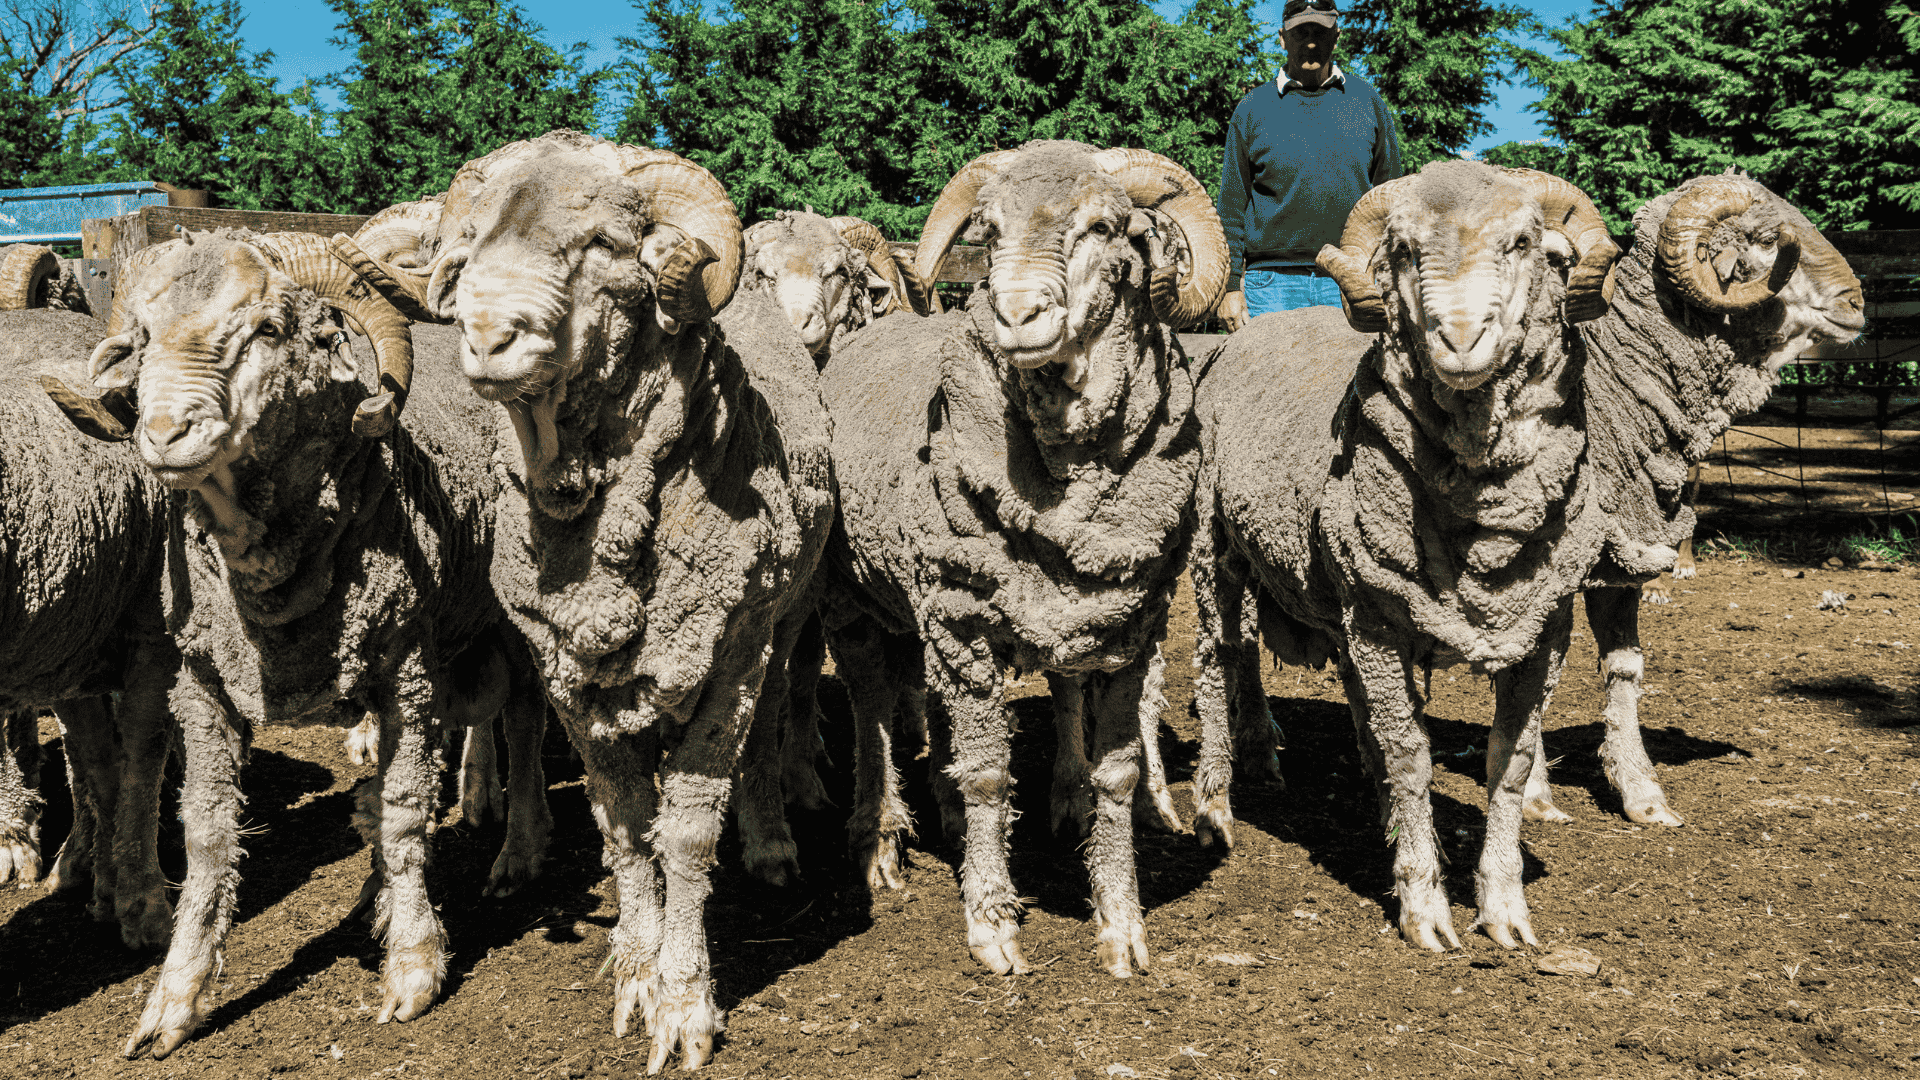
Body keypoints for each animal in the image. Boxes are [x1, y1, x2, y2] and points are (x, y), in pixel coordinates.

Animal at [42, 227, 547, 1057]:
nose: (164, 434)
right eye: (141, 339)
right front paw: (174, 998)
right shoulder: (203, 682)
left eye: (268, 330)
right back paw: (383, 890)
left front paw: (413, 968)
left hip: (510, 612)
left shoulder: (405, 668)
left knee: (523, 719)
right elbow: (208, 834)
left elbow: (404, 807)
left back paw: (519, 849)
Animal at [334, 129, 834, 1073]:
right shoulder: (568, 676)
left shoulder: (729, 655)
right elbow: (626, 824)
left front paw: (684, 999)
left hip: (777, 628)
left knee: (769, 728)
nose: (493, 334)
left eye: (602, 243)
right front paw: (636, 969)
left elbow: (687, 830)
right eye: (463, 250)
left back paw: (771, 839)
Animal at [818, 140, 1228, 974]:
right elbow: (985, 775)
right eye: (989, 229)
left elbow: (1118, 775)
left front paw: (1121, 922)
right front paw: (991, 922)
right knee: (873, 708)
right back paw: (880, 835)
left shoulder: (1127, 630)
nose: (1017, 315)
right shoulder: (965, 625)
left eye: (1104, 226)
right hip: (858, 598)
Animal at [1190, 161, 1623, 950]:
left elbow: (1508, 764)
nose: (1459, 338)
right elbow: (1412, 755)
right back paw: (1214, 807)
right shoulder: (1379, 626)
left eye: (1523, 243)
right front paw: (1424, 904)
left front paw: (1504, 906)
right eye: (1401, 251)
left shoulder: (1544, 628)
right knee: (1217, 660)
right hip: (1218, 547)